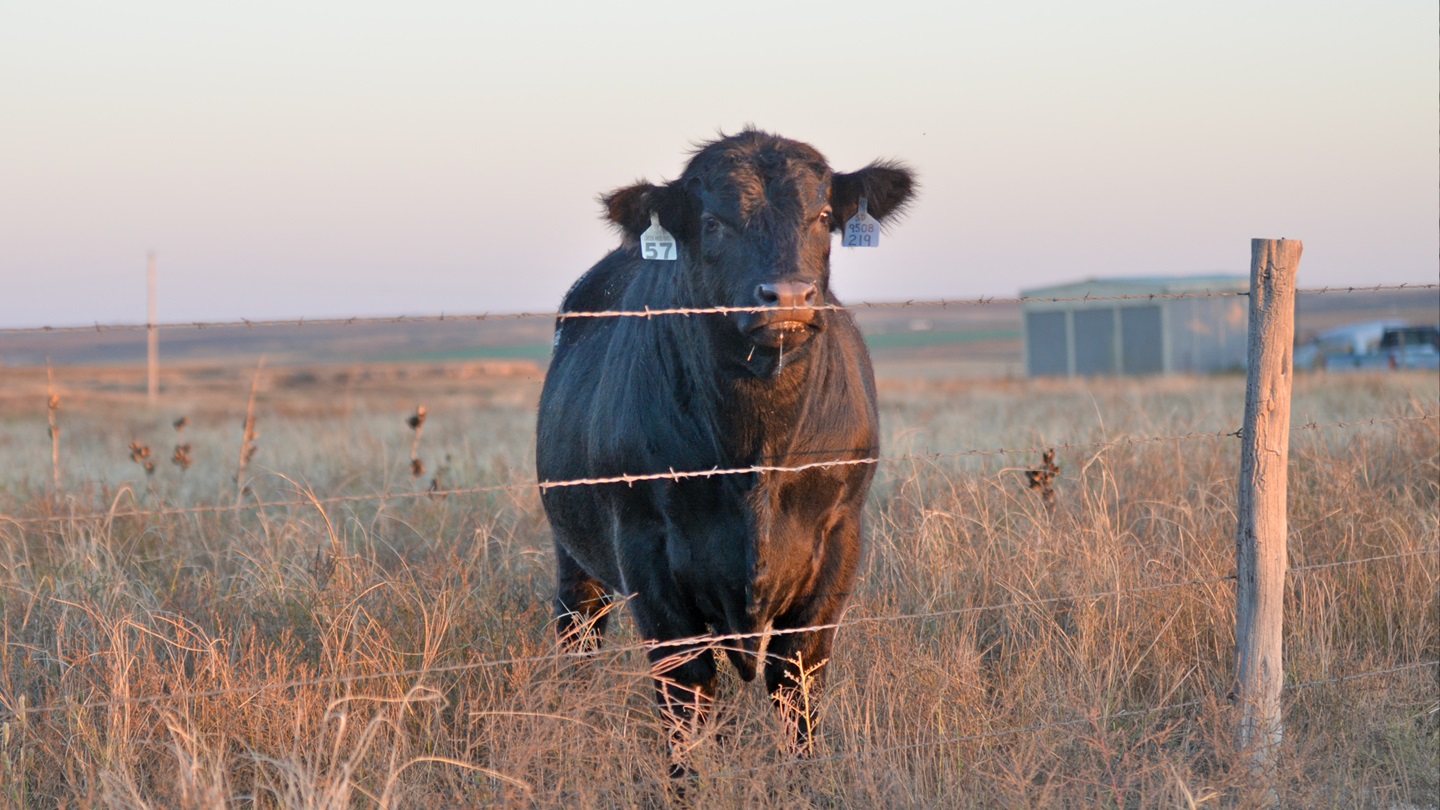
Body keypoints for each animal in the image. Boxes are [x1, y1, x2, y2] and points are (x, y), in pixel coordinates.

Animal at [535, 129, 915, 764]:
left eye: (823, 216)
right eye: (713, 222)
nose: (787, 296)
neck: (756, 444)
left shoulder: (840, 539)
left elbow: (797, 683)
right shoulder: (647, 552)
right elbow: (685, 692)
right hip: (573, 551)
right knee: (578, 627)